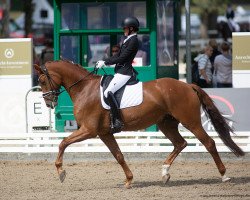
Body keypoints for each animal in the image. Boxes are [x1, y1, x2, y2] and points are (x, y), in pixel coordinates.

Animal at [34, 60, 243, 188]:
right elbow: (118, 155)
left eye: (43, 80)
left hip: (190, 121)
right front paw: (129, 180)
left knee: (209, 143)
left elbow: (62, 143)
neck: (84, 89)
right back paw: (165, 173)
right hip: (166, 123)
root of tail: (187, 85)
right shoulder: (104, 133)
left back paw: (224, 175)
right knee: (180, 143)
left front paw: (61, 172)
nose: (48, 103)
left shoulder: (89, 130)